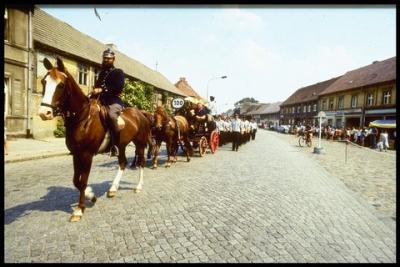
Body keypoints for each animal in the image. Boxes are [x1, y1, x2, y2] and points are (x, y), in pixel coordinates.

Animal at [37, 57, 152, 223]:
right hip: (121, 145)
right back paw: (113, 189)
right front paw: (91, 195)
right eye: (44, 82)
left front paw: (79, 210)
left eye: (61, 85)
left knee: (141, 162)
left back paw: (138, 186)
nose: (44, 113)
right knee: (122, 163)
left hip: (140, 144)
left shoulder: (87, 155)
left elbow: (83, 181)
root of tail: (141, 113)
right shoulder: (76, 154)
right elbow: (76, 181)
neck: (83, 117)